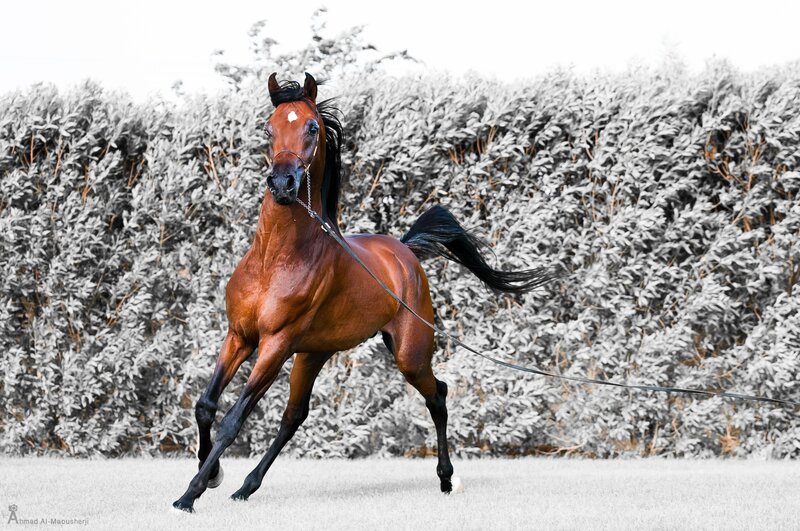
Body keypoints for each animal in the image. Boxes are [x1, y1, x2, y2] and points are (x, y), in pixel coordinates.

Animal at [172, 73, 552, 513]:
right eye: (268, 127)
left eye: (312, 127)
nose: (283, 184)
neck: (274, 260)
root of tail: (405, 251)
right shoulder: (239, 336)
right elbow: (205, 405)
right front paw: (213, 474)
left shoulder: (274, 344)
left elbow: (233, 419)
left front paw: (190, 493)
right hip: (313, 354)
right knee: (294, 416)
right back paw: (245, 487)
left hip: (408, 354)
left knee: (437, 395)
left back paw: (446, 479)